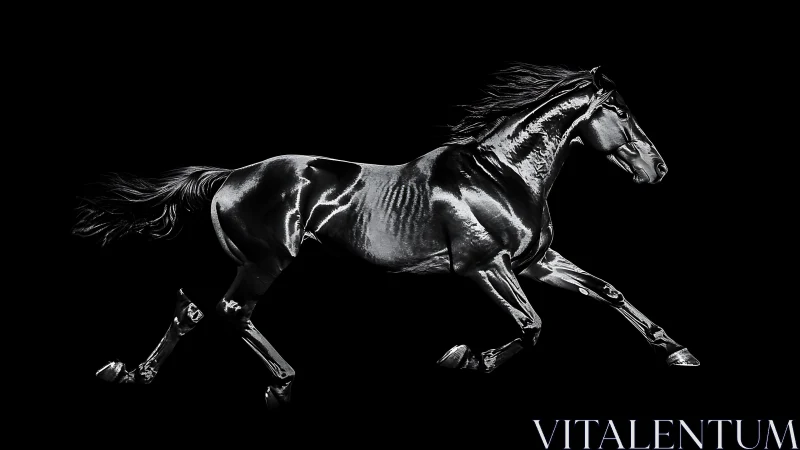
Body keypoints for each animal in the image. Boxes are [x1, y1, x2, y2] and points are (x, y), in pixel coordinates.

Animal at [74, 64, 699, 409]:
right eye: (621, 111)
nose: (659, 169)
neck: (502, 175)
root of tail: (229, 177)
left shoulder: (537, 263)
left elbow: (609, 290)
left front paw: (677, 351)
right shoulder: (482, 266)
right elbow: (531, 325)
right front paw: (467, 359)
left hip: (242, 260)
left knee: (192, 310)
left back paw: (136, 373)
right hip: (265, 261)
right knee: (230, 311)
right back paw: (282, 385)